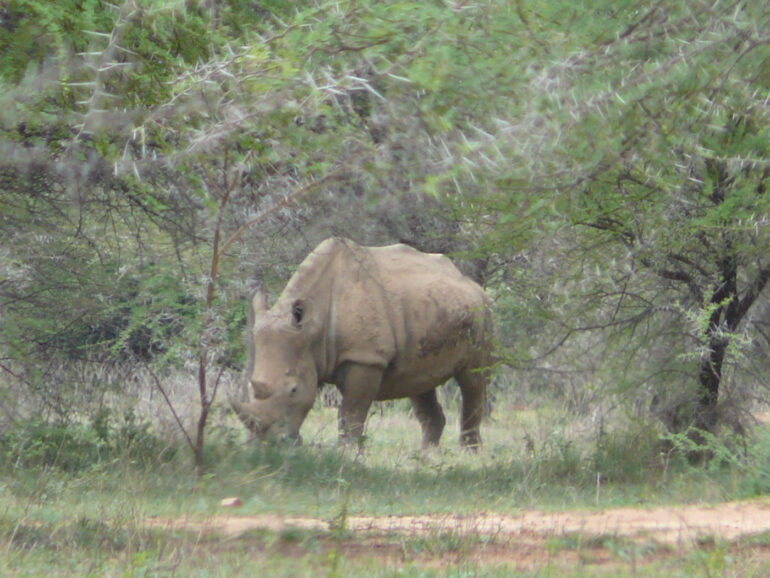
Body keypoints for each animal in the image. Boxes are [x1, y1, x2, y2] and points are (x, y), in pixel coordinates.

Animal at [231, 237, 494, 448]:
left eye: (293, 390)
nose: (266, 445)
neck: (314, 323)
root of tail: (470, 281)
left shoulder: (365, 358)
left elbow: (351, 412)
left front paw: (346, 452)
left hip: (482, 312)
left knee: (472, 379)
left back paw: (469, 452)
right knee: (419, 382)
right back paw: (427, 455)